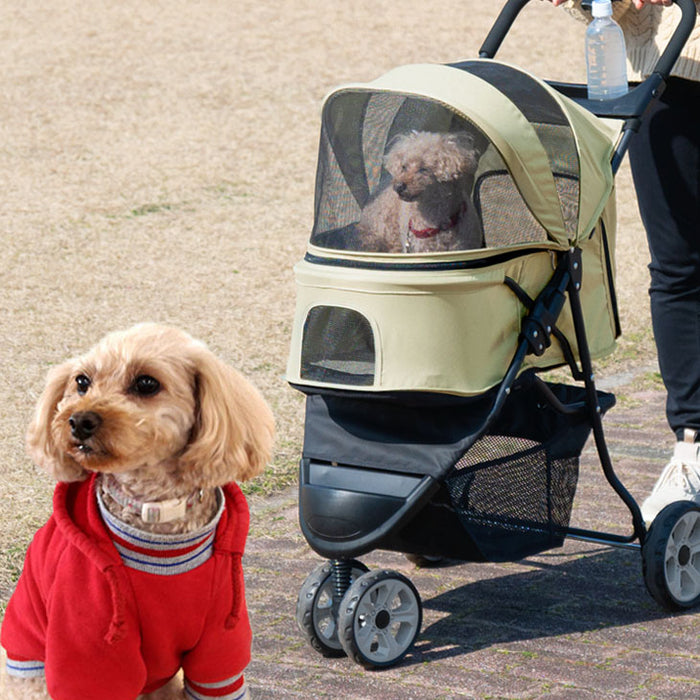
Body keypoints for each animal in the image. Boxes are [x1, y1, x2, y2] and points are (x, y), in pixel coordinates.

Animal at [1, 326, 274, 696]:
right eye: (82, 381)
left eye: (146, 383)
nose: (78, 420)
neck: (154, 515)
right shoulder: (86, 643)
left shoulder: (220, 649)